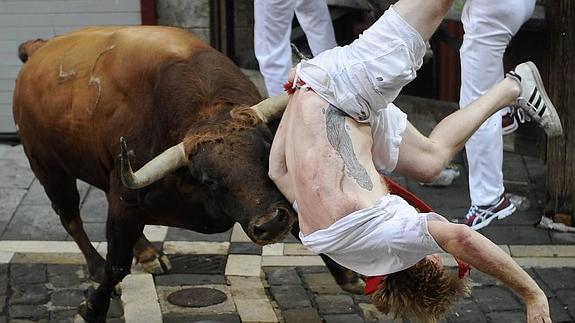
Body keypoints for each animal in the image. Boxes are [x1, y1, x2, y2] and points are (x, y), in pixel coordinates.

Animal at [12, 26, 306, 322]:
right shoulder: (125, 202)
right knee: (70, 218)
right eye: (210, 180)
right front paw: (91, 309)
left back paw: (147, 253)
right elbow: (116, 266)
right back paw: (95, 267)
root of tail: (38, 49)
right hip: (49, 169)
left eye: (267, 153)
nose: (272, 223)